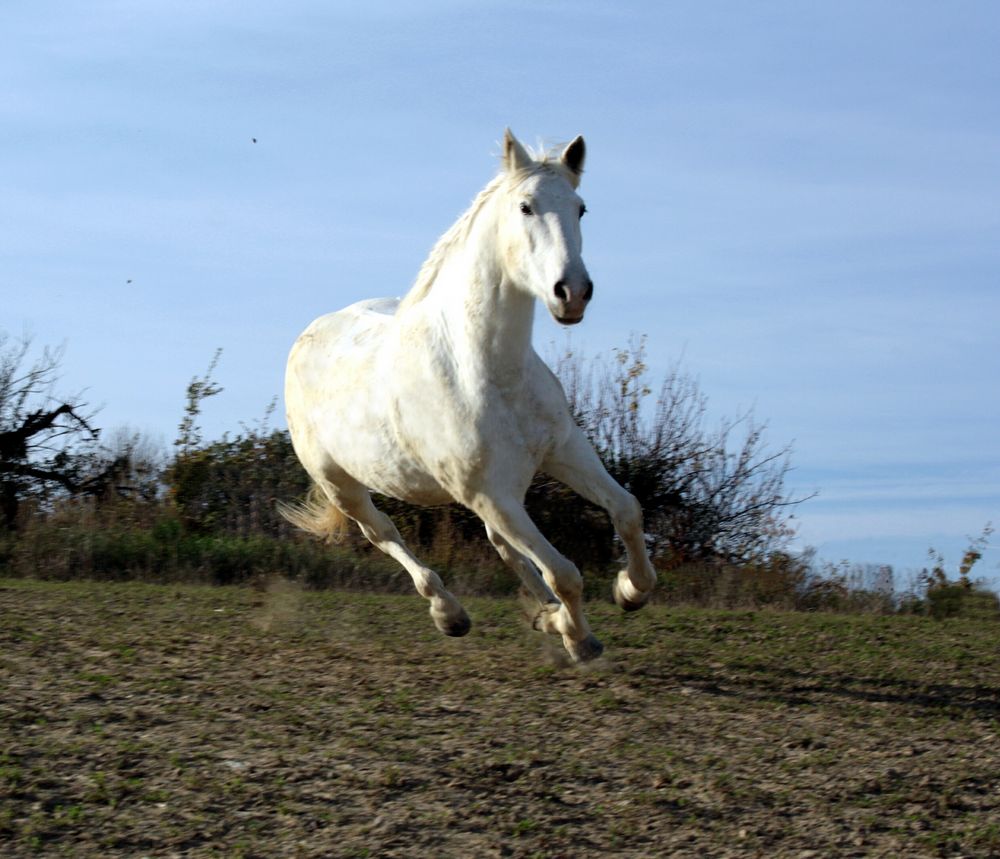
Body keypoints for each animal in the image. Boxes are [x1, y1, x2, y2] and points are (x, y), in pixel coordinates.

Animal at [282, 129, 656, 664]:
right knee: (384, 533)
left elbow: (627, 510)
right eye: (525, 206)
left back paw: (543, 613)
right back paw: (450, 613)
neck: (485, 370)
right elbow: (565, 572)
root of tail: (312, 331)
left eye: (581, 208)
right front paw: (579, 639)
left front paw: (629, 591)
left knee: (504, 546)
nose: (572, 292)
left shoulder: (563, 451)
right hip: (343, 486)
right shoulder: (490, 494)